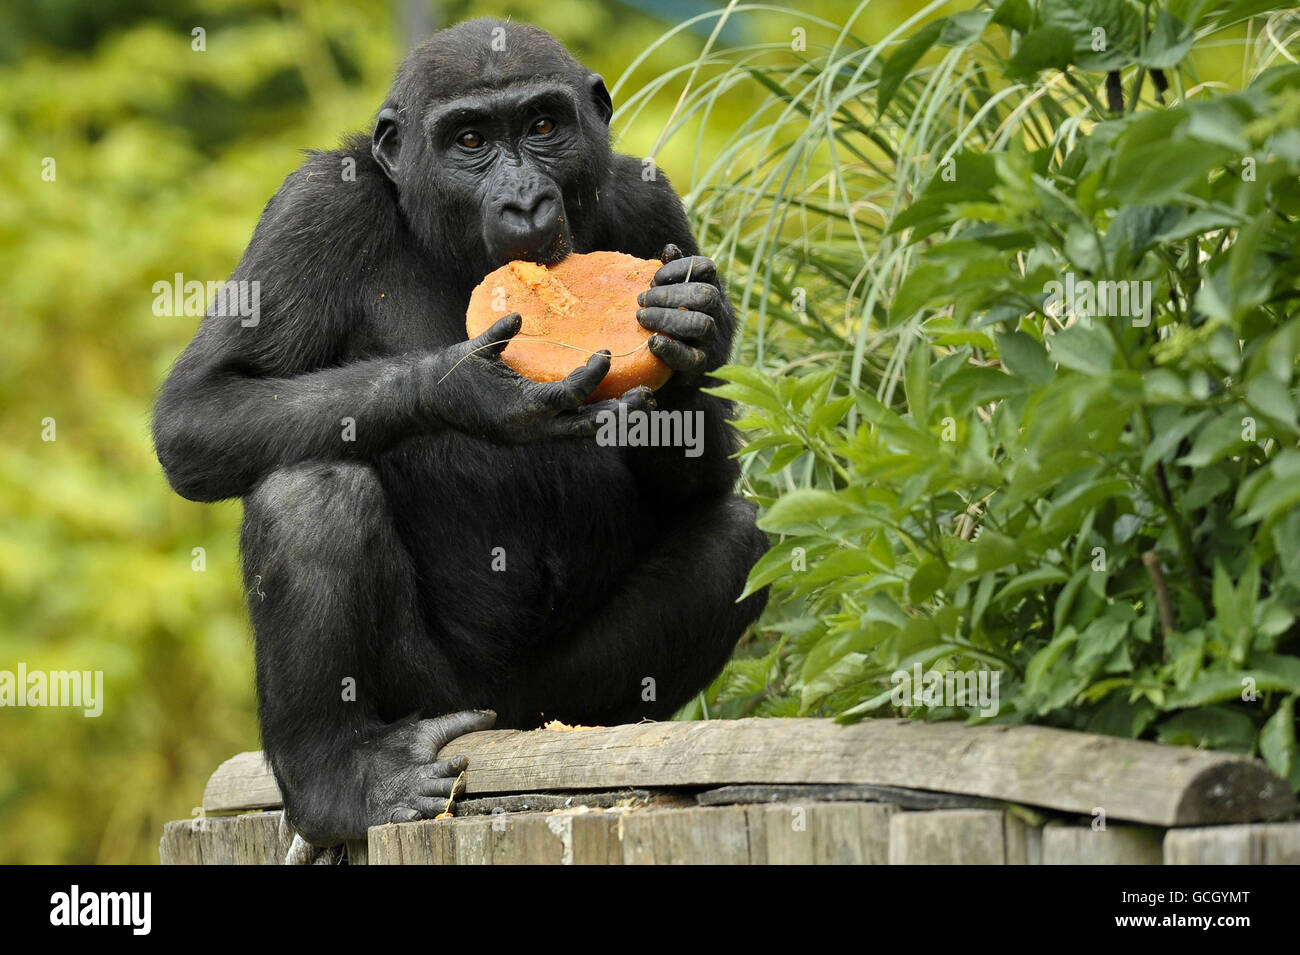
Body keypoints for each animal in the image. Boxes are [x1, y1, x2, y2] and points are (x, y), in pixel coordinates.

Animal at [152, 18, 764, 841]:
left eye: (543, 126)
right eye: (470, 139)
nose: (525, 199)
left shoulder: (651, 202)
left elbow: (706, 472)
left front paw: (691, 329)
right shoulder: (312, 210)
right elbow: (201, 409)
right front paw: (466, 388)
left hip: (551, 700)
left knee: (736, 534)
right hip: (428, 693)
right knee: (310, 491)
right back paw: (337, 780)